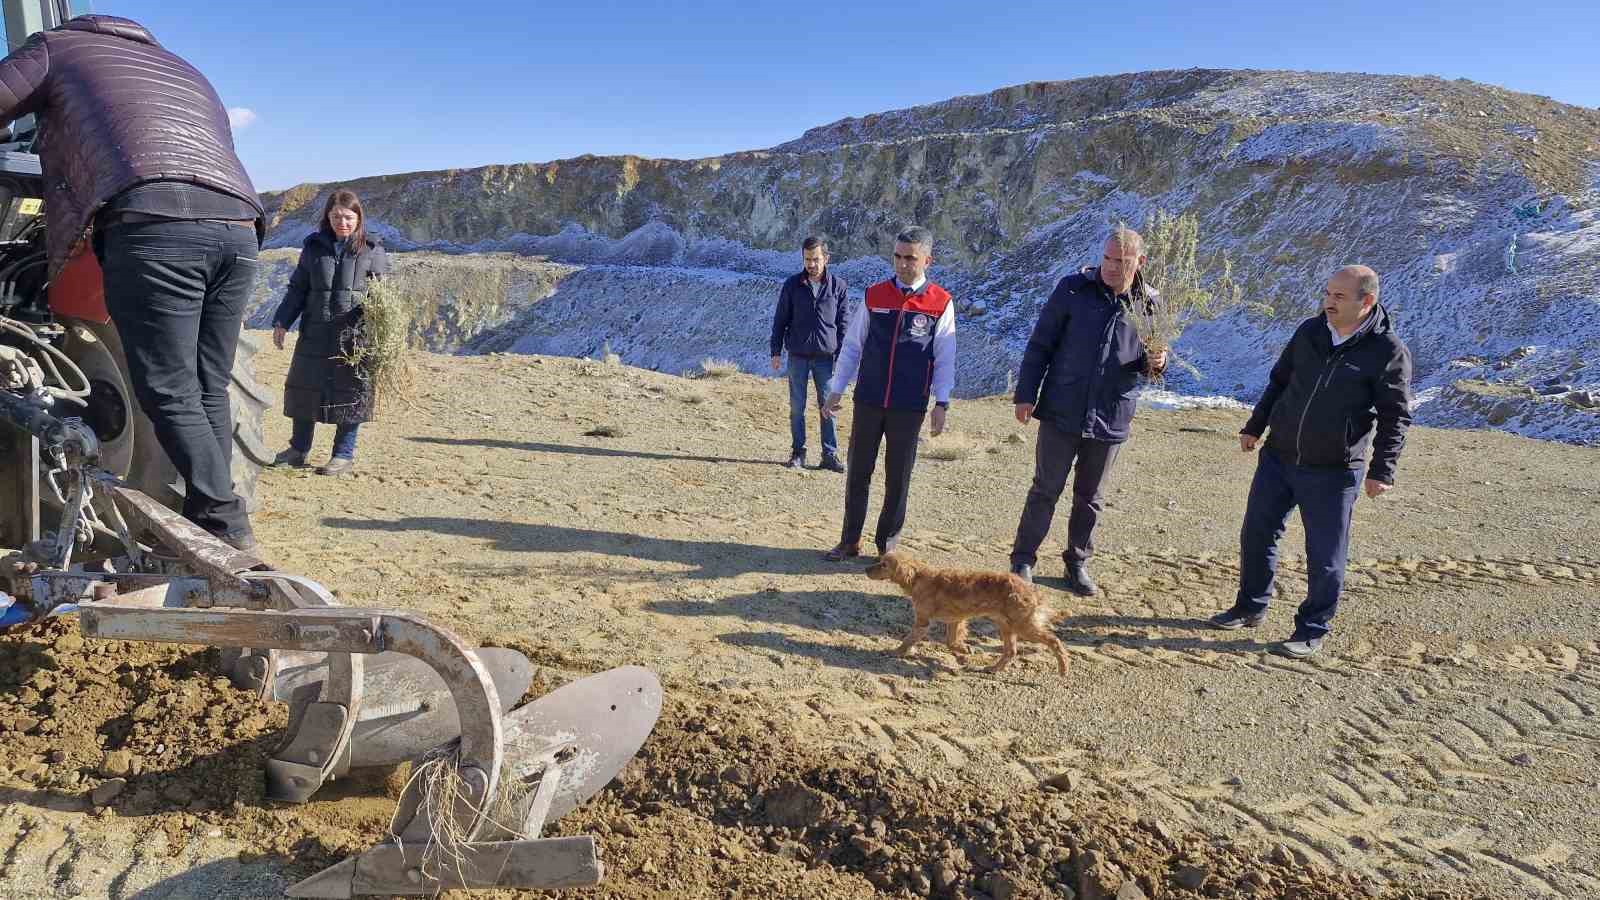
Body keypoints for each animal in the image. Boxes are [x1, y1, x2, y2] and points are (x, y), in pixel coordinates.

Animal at [870, 547, 1068, 672]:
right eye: (880, 561)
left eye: (884, 564)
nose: (866, 569)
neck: (919, 577)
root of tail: (1032, 590)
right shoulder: (955, 619)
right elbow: (950, 641)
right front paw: (965, 649)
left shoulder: (923, 621)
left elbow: (908, 640)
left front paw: (894, 652)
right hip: (1006, 626)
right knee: (1011, 652)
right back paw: (992, 669)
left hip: (1023, 626)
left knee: (1054, 641)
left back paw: (1063, 667)